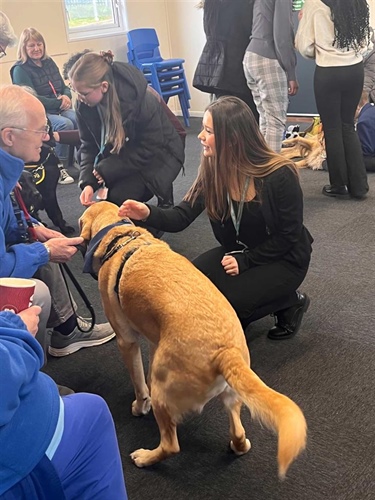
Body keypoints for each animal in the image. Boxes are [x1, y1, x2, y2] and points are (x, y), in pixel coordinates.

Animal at [80, 201, 308, 478]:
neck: (122, 240)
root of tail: (225, 351)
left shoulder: (126, 341)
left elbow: (138, 382)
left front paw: (139, 406)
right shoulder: (154, 339)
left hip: (164, 395)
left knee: (171, 445)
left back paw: (145, 457)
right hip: (231, 394)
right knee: (239, 434)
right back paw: (237, 445)